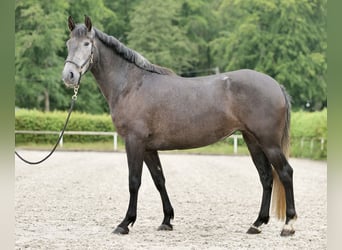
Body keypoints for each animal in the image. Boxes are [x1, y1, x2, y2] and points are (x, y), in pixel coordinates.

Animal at [62, 15, 296, 236]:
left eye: (87, 44)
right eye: (68, 43)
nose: (69, 76)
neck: (131, 84)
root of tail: (276, 85)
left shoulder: (134, 141)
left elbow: (134, 181)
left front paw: (125, 223)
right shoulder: (148, 147)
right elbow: (159, 180)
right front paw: (167, 220)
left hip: (269, 143)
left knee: (285, 173)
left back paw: (288, 225)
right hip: (252, 140)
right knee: (266, 177)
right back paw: (257, 224)